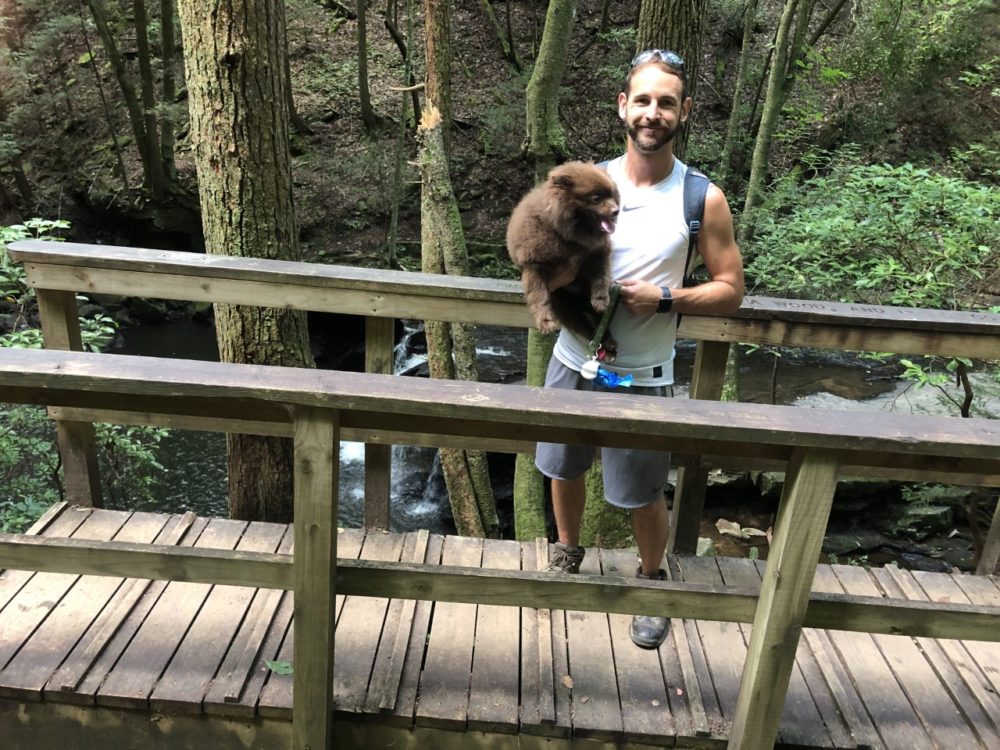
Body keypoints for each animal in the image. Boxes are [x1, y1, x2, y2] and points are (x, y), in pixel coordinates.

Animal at [508, 161, 616, 346]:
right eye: (596, 198)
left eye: (612, 195)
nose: (616, 210)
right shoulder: (534, 264)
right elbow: (540, 295)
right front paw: (545, 321)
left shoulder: (596, 252)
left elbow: (600, 277)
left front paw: (601, 300)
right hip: (564, 304)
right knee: (582, 324)